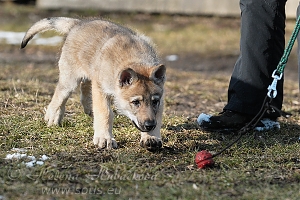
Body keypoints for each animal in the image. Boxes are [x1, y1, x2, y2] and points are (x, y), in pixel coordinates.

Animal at [20, 17, 166, 150]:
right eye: (135, 102)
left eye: (154, 101)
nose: (149, 125)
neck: (133, 59)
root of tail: (77, 23)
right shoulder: (101, 88)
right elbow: (105, 113)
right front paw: (104, 138)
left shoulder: (161, 100)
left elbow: (157, 116)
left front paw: (151, 137)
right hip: (70, 81)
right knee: (59, 96)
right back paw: (53, 118)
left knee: (84, 87)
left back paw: (88, 108)